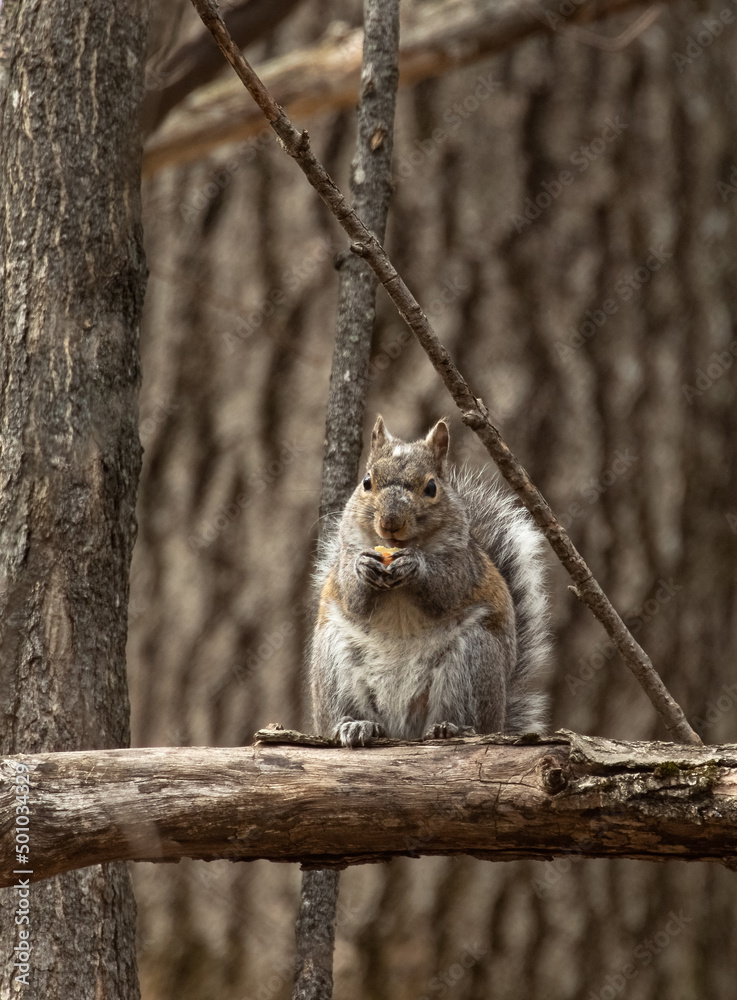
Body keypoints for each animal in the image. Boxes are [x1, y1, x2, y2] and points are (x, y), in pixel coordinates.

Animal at [309, 416, 550, 747]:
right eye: (367, 482)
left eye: (432, 487)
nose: (391, 522)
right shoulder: (345, 557)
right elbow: (352, 595)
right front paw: (362, 568)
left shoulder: (463, 566)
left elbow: (444, 589)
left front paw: (416, 566)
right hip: (335, 666)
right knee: (343, 711)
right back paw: (354, 725)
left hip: (472, 661)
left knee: (463, 716)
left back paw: (451, 728)